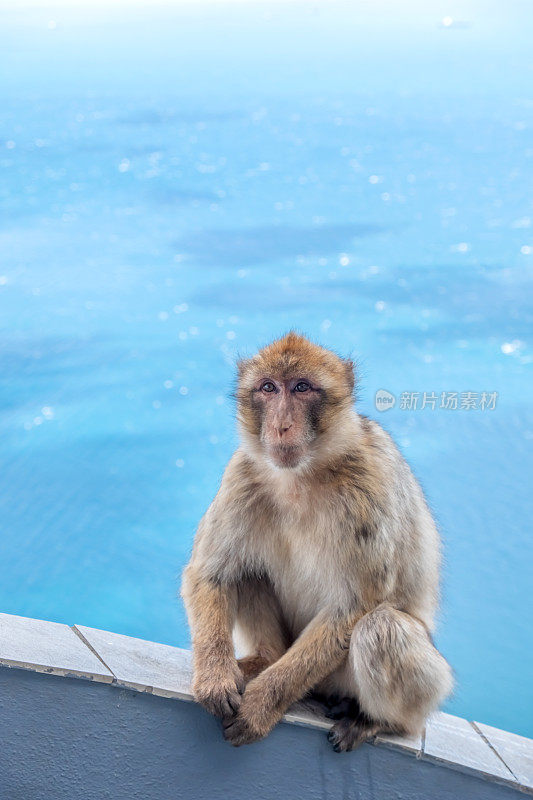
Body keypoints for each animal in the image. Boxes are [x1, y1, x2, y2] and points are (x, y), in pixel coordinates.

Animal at [181, 332, 450, 752]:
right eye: (269, 388)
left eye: (302, 388)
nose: (281, 425)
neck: (301, 476)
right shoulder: (241, 475)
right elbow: (211, 574)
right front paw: (215, 679)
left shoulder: (365, 489)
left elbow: (353, 609)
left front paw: (261, 705)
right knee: (247, 570)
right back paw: (265, 658)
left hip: (405, 685)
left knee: (382, 627)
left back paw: (378, 721)